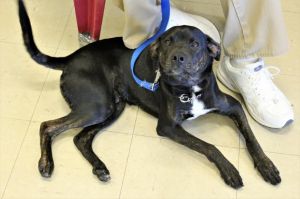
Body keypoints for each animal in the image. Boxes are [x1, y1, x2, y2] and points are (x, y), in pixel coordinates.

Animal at [18, 0, 282, 189]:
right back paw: (46, 164)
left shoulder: (234, 106)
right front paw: (229, 169)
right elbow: (209, 146)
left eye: (195, 44)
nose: (177, 56)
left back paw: (100, 168)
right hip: (97, 106)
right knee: (47, 126)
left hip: (113, 107)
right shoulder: (167, 127)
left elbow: (251, 138)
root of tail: (70, 58)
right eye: (166, 42)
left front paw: (266, 165)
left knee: (80, 138)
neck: (190, 89)